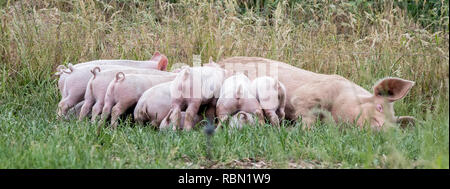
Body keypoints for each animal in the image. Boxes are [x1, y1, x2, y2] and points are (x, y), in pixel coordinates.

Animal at [218, 56, 414, 130]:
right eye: (379, 107)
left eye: (394, 122)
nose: (386, 129)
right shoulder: (306, 97)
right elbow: (306, 115)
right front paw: (302, 130)